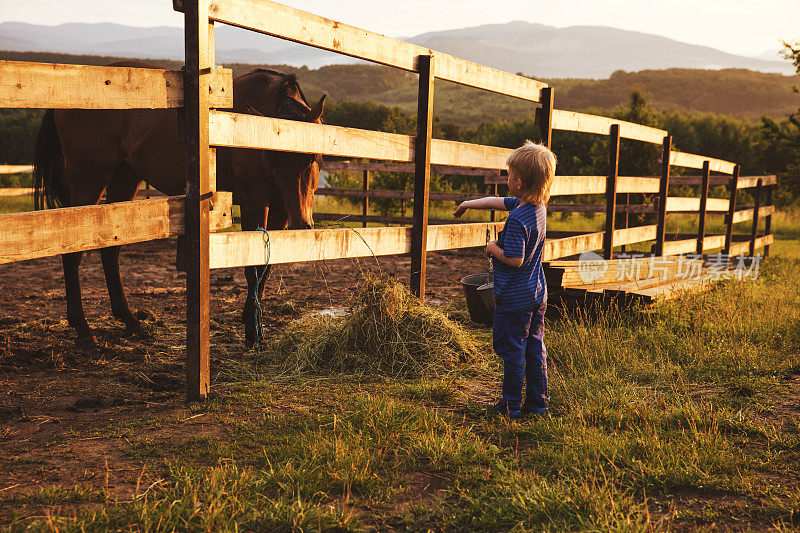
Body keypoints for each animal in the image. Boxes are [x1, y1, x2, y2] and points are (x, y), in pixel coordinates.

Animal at [33, 62, 322, 348]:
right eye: (275, 161)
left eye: (311, 159)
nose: (303, 224)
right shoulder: (254, 202)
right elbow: (252, 267)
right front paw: (252, 332)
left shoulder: (280, 209)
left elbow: (266, 267)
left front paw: (254, 323)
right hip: (88, 183)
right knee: (73, 250)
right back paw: (82, 328)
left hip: (125, 181)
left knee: (110, 249)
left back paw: (130, 321)